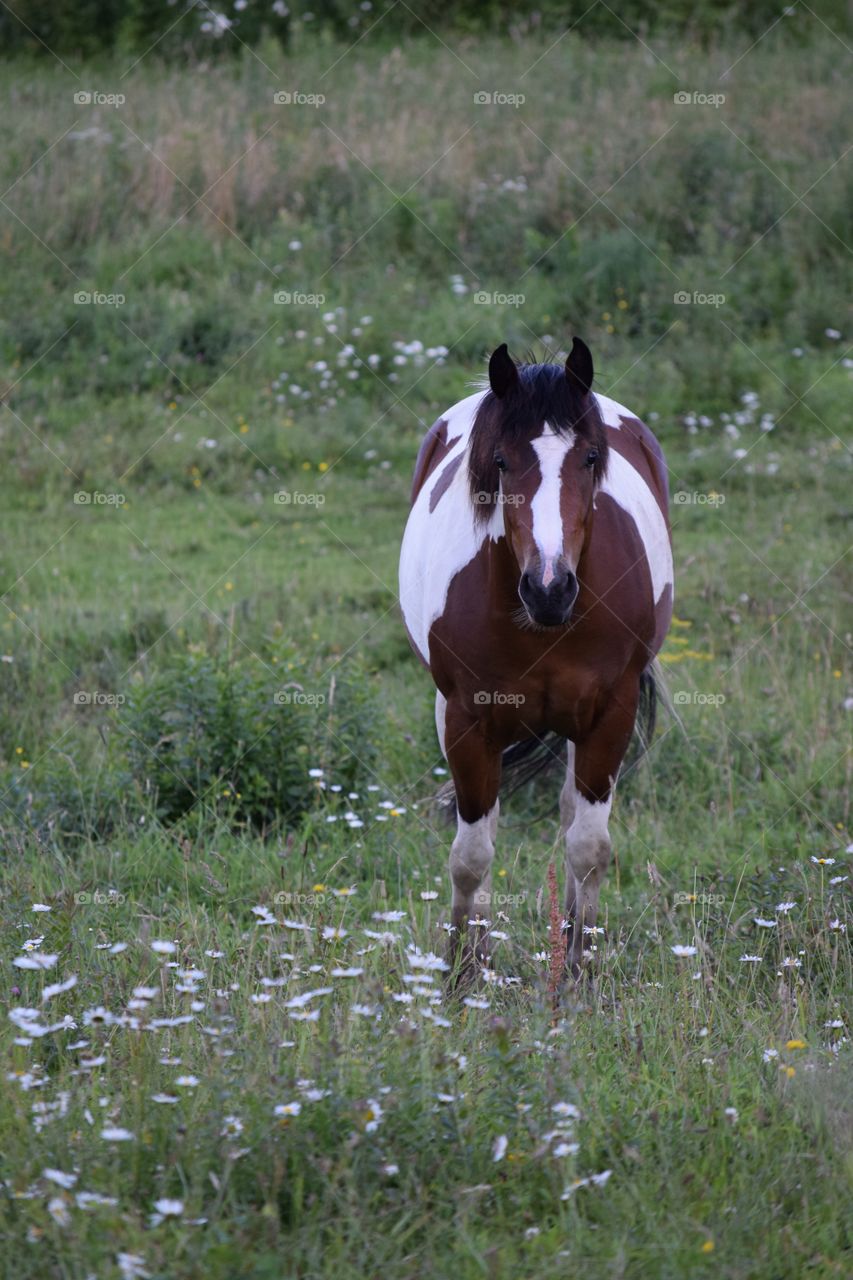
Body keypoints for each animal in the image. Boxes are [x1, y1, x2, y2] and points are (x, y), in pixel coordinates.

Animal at [399, 339, 673, 977]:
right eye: (500, 462)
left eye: (591, 458)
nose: (549, 588)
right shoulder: (466, 719)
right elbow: (470, 855)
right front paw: (462, 976)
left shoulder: (611, 713)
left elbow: (589, 848)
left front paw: (579, 976)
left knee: (573, 814)